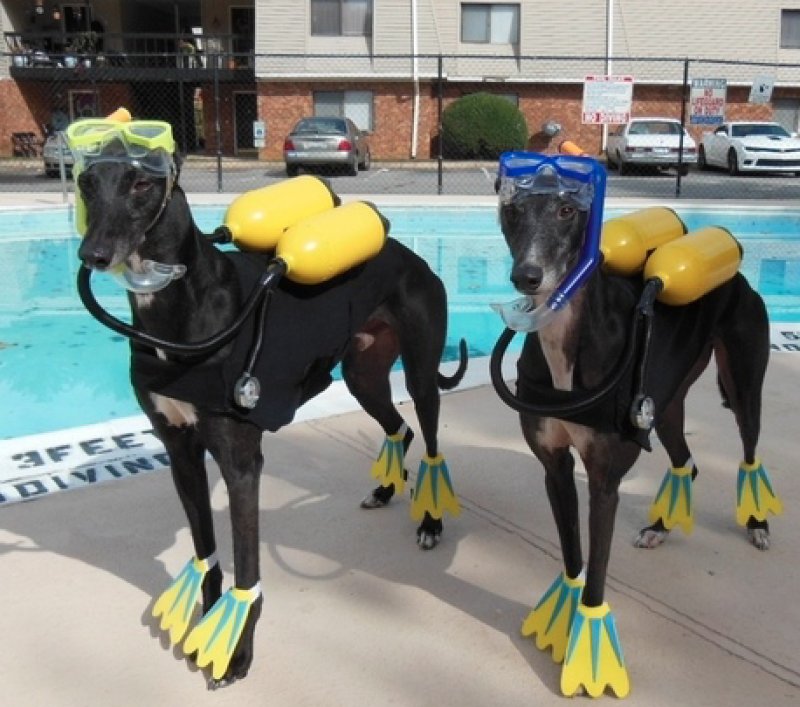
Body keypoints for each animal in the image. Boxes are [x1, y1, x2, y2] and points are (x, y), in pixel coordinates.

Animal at [76, 149, 468, 684]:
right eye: (86, 182)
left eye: (141, 183)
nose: (92, 254)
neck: (182, 305)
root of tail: (404, 250)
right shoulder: (180, 452)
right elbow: (205, 550)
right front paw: (206, 620)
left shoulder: (240, 463)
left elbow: (247, 566)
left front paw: (237, 651)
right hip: (362, 373)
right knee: (399, 428)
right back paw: (386, 489)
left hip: (421, 374)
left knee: (427, 439)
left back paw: (430, 522)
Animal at [490, 156, 780, 696]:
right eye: (513, 209)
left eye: (567, 209)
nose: (527, 277)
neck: (567, 344)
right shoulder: (555, 466)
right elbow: (572, 555)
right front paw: (563, 626)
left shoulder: (604, 480)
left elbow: (597, 572)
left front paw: (588, 652)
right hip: (665, 405)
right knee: (686, 460)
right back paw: (660, 527)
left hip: (744, 386)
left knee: (749, 452)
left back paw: (757, 524)